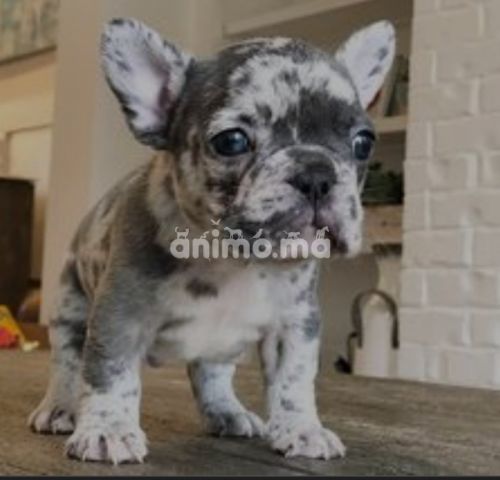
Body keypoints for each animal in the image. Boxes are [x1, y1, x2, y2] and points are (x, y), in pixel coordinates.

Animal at [28, 19, 394, 464]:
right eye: (231, 141)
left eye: (363, 143)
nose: (315, 174)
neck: (230, 258)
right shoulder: (119, 315)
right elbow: (111, 373)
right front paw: (108, 430)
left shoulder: (294, 324)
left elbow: (294, 379)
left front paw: (302, 429)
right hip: (70, 305)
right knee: (66, 362)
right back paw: (60, 408)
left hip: (220, 346)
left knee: (211, 374)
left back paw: (227, 412)